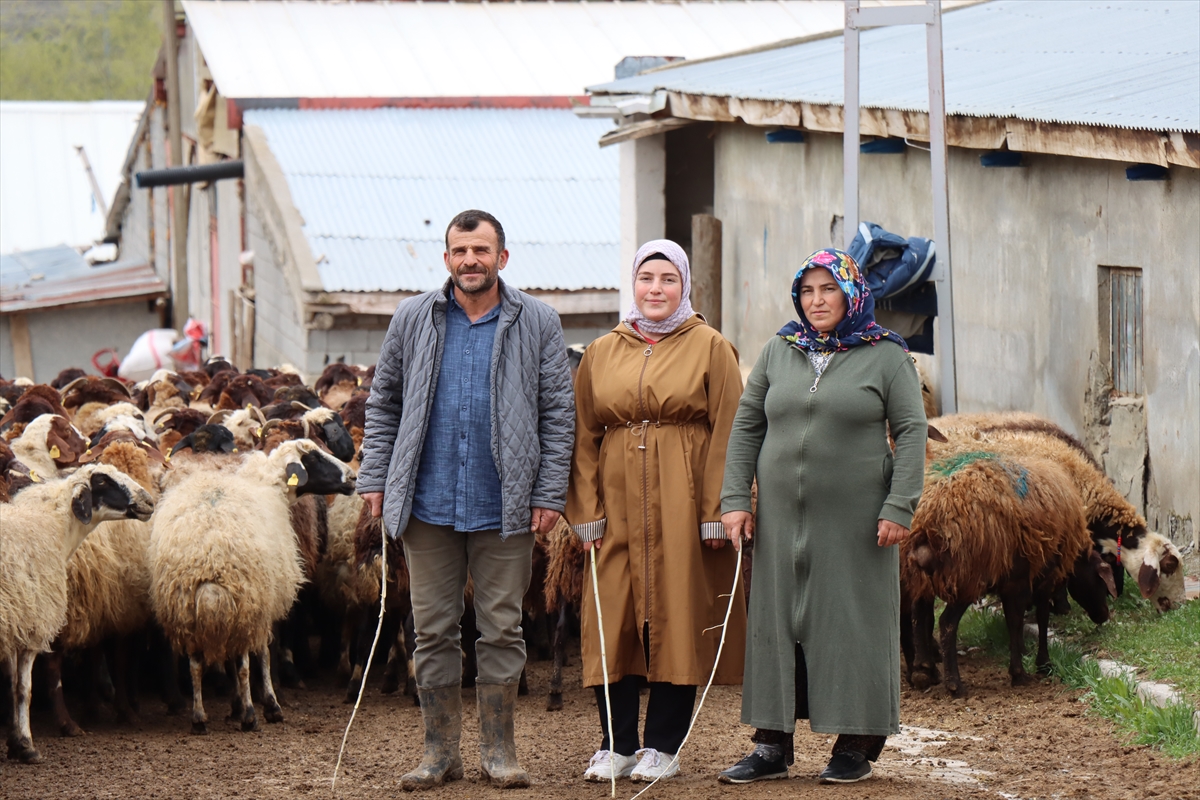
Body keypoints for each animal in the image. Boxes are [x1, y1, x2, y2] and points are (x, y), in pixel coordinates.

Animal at [0, 464, 154, 763]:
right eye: (102, 481)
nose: (149, 502)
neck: (52, 528)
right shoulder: (33, 623)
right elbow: (25, 690)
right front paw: (27, 746)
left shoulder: (17, 622)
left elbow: (11, 688)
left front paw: (14, 744)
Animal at [149, 439, 355, 734]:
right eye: (314, 458)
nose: (352, 477)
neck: (270, 486)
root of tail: (207, 552)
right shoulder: (262, 604)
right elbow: (263, 654)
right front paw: (267, 705)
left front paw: (235, 705)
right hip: (243, 599)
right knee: (243, 661)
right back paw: (250, 715)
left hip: (185, 606)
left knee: (195, 664)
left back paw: (199, 718)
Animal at [901, 447, 1096, 697]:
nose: (1103, 617)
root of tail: (928, 522)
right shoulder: (1035, 579)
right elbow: (1031, 619)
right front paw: (1033, 667)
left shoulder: (1014, 581)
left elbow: (1014, 620)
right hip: (968, 577)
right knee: (946, 623)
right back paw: (954, 683)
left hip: (923, 578)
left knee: (918, 614)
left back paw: (923, 670)